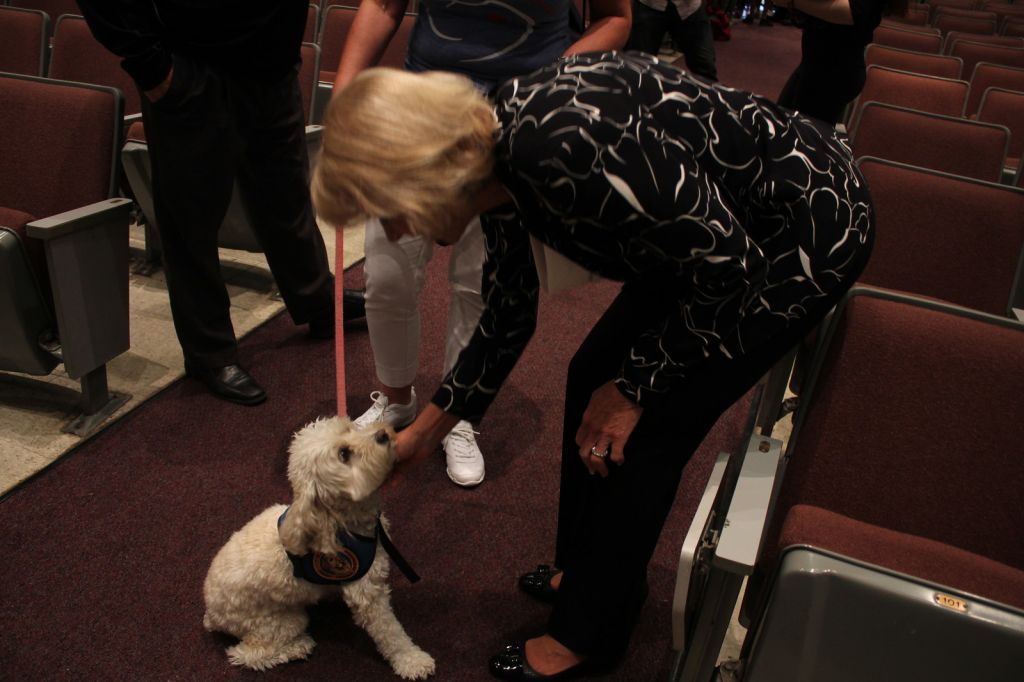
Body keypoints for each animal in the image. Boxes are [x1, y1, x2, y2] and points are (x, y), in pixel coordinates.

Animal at [202, 413, 436, 675]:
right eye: (344, 454)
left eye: (349, 428)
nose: (383, 434)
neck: (339, 518)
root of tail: (212, 614)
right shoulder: (367, 594)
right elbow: (390, 633)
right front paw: (411, 660)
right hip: (281, 621)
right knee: (248, 654)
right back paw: (297, 647)